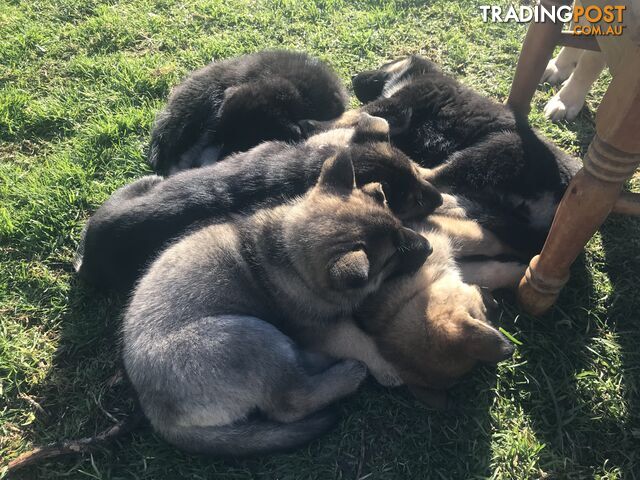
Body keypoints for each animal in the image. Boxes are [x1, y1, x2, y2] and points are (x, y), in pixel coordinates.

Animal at [77, 114, 442, 290]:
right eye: (409, 200)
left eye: (416, 169)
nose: (440, 199)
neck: (306, 167)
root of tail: (88, 257)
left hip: (146, 183)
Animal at [121, 152, 430, 456]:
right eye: (392, 257)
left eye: (398, 223)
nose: (429, 247)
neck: (289, 255)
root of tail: (158, 414)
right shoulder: (322, 327)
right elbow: (357, 339)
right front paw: (386, 367)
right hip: (249, 337)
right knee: (291, 402)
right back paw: (347, 375)